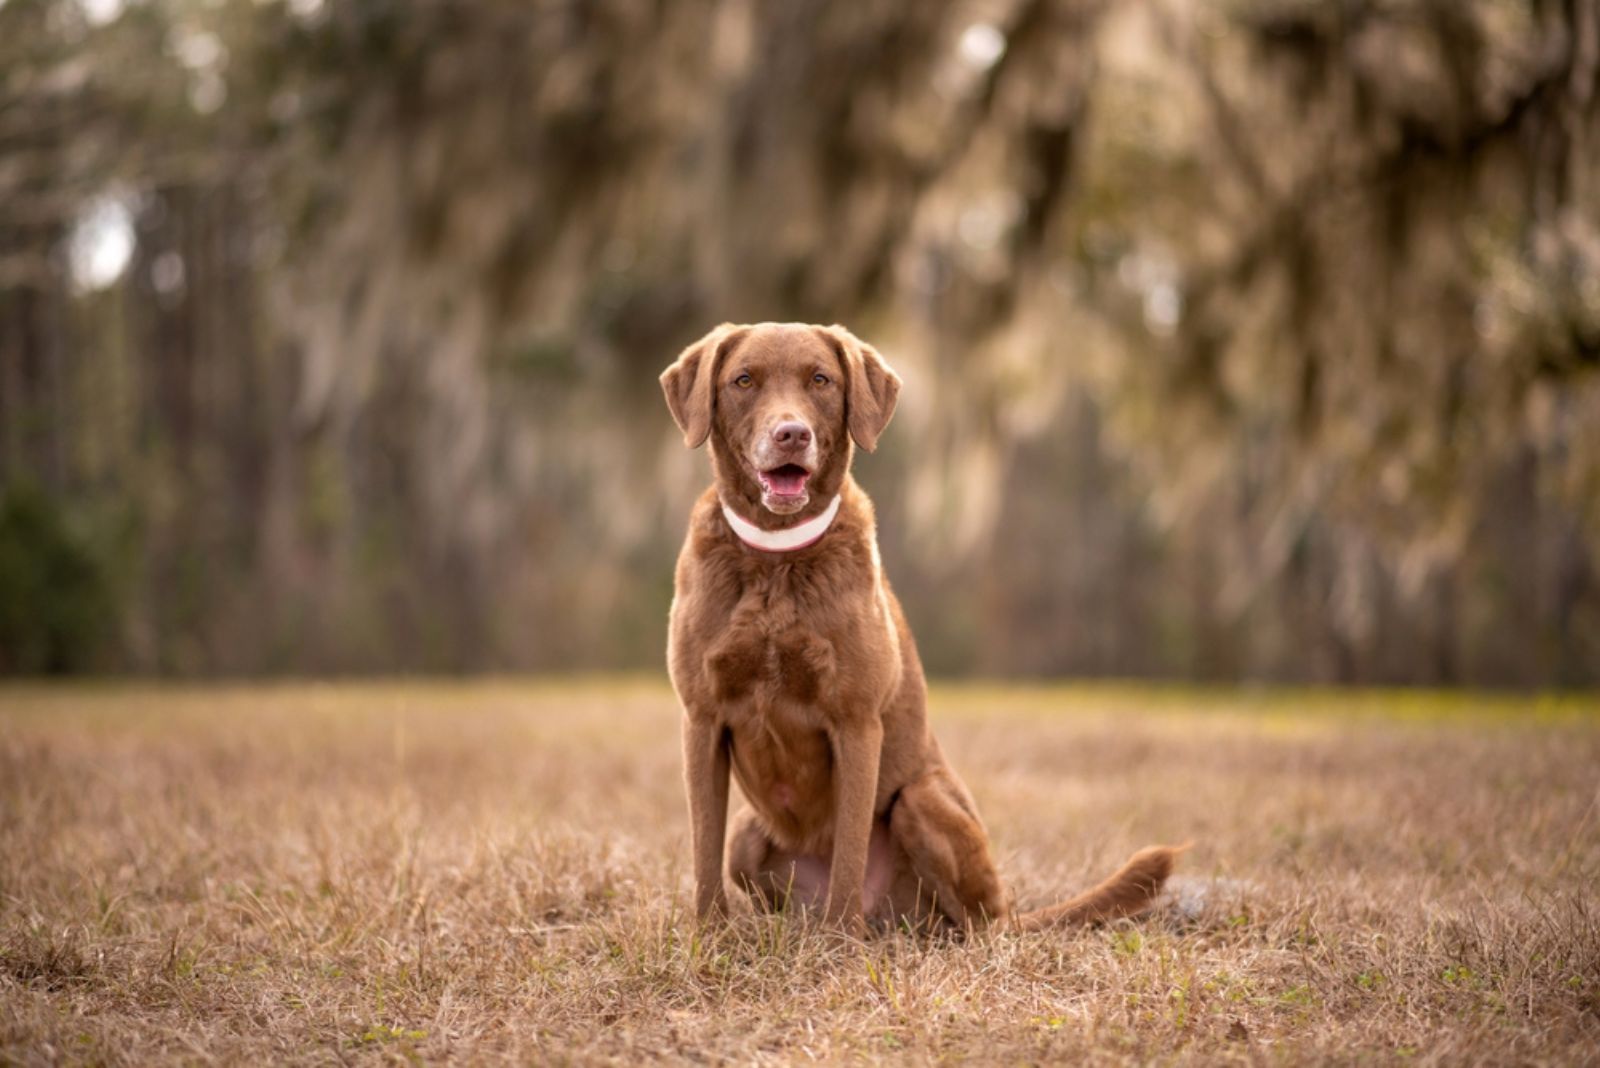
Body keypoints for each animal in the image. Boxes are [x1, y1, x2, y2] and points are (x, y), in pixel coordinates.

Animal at [662, 321, 1190, 927]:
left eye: (820, 380)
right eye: (744, 380)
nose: (791, 434)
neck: (776, 560)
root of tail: (891, 917)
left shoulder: (856, 722)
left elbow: (849, 851)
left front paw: (838, 943)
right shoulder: (701, 717)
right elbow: (704, 845)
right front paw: (709, 934)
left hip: (924, 800)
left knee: (978, 925)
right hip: (749, 836)